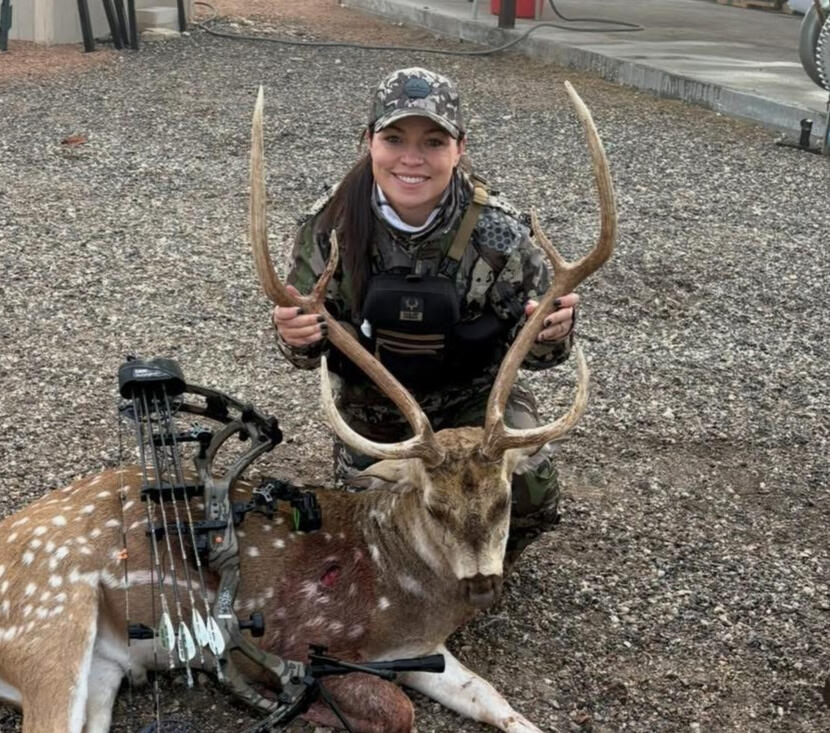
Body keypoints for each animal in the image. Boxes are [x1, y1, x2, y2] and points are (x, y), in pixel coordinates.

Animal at [0, 80, 615, 733]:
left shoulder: (421, 651)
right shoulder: (303, 639)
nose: (481, 589)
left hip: (103, 669)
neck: (403, 590)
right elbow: (397, 710)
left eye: (502, 500)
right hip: (49, 622)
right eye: (434, 504)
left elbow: (497, 701)